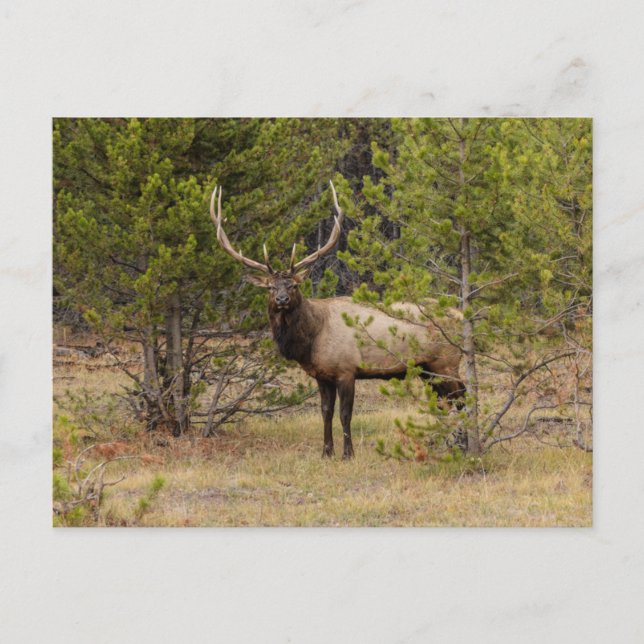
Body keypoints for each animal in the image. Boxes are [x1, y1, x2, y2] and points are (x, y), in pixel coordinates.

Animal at [210, 182, 464, 459]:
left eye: (294, 285)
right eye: (270, 287)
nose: (281, 299)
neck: (312, 340)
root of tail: (462, 315)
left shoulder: (346, 369)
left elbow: (345, 414)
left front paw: (348, 454)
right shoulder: (322, 375)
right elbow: (326, 412)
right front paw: (326, 452)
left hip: (446, 362)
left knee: (463, 397)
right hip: (427, 368)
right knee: (445, 402)